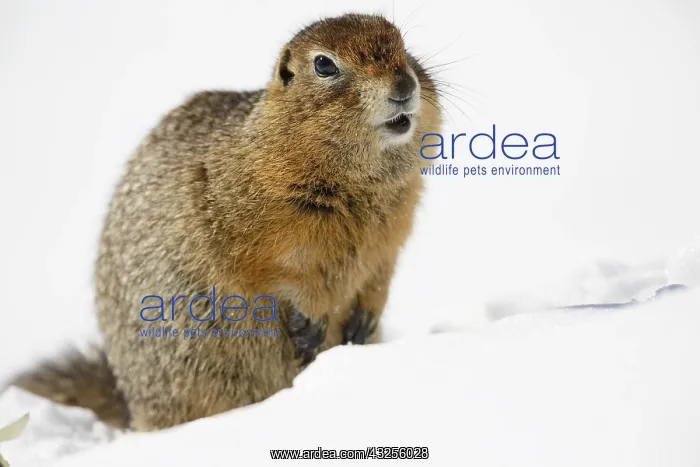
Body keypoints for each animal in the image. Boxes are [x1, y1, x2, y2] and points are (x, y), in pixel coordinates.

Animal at [12, 13, 441, 431]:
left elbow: (381, 270)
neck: (362, 187)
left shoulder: (392, 230)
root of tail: (133, 409)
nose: (404, 83)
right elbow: (283, 271)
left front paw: (365, 317)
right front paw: (311, 320)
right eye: (324, 64)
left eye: (403, 45)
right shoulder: (256, 223)